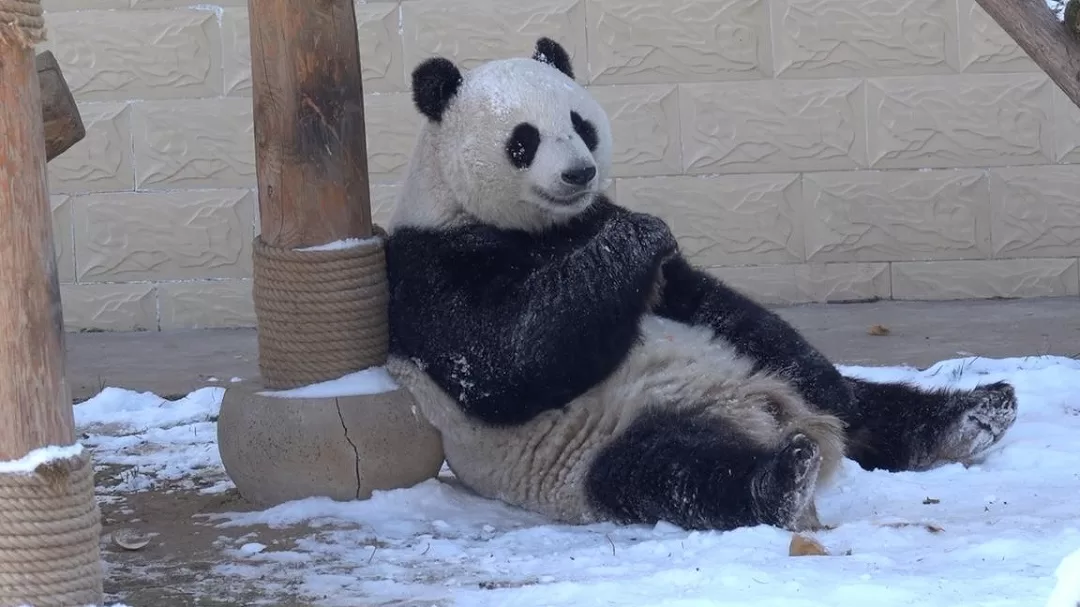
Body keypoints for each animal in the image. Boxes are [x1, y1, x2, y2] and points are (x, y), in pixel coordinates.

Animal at [382, 38, 1020, 532]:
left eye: (580, 124)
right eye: (524, 140)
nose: (580, 173)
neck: (543, 229)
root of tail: (768, 414)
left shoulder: (628, 254)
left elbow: (714, 303)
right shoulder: (428, 266)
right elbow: (503, 360)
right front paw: (640, 231)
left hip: (761, 379)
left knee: (862, 402)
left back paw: (974, 413)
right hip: (597, 442)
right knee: (674, 473)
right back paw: (783, 479)